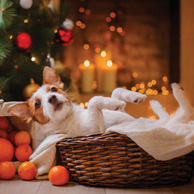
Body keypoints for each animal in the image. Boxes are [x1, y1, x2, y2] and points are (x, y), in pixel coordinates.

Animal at [7, 66, 147, 138]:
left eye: (53, 89)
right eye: (37, 104)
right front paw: (116, 103)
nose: (52, 98)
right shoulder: (95, 131)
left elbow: (116, 91)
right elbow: (93, 100)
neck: (70, 117)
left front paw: (136, 96)